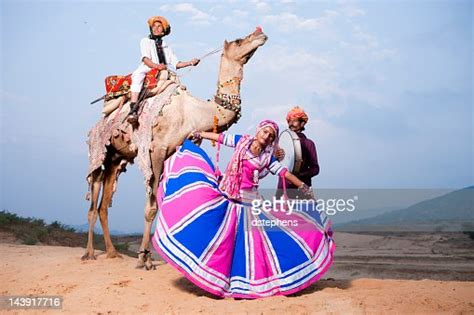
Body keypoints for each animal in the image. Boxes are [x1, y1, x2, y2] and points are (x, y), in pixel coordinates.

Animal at [81, 27, 266, 270]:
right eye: (238, 41)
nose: (260, 34)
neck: (192, 112)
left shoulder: (171, 152)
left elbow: (162, 204)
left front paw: (149, 256)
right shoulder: (156, 150)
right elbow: (150, 208)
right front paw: (144, 259)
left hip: (115, 159)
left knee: (103, 206)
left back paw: (112, 252)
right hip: (98, 152)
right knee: (93, 204)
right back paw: (89, 253)